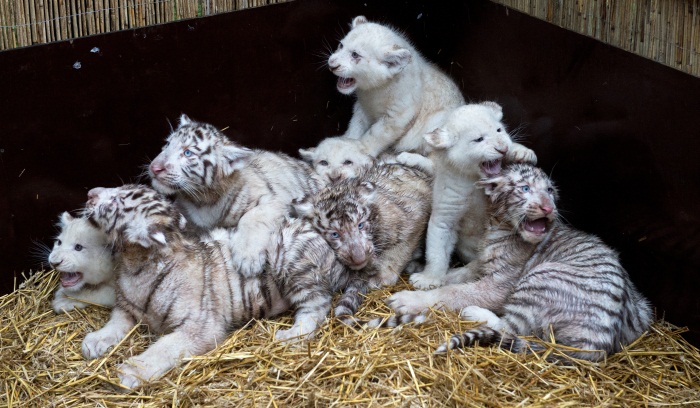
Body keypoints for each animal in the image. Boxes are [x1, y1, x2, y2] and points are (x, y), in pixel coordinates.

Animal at [148, 114, 323, 277]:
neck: (203, 199)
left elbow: (252, 217)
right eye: (167, 144)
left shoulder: (275, 199)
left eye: (187, 152)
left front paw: (248, 259)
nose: (154, 167)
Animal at [293, 162, 432, 323]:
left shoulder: (413, 219)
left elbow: (397, 253)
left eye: (360, 225)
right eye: (334, 234)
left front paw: (382, 277)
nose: (359, 257)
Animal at [382, 163, 653, 361]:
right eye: (524, 189)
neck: (500, 227)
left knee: (509, 327)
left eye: (550, 191)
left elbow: (454, 292)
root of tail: (597, 345)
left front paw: (407, 299)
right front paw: (424, 276)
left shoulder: (499, 284)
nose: (548, 207)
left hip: (541, 278)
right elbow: (457, 274)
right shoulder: (483, 262)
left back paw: (473, 312)